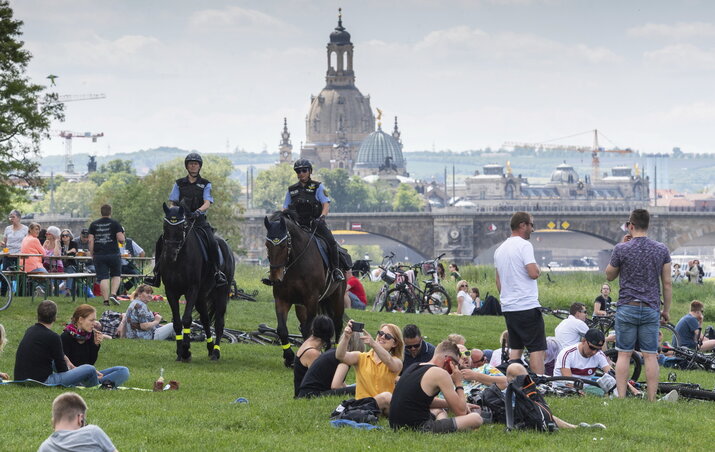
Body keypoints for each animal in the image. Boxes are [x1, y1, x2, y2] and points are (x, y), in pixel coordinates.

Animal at [160, 203, 235, 362]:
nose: (169, 255)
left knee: (219, 323)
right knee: (205, 319)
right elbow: (177, 322)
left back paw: (216, 352)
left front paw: (186, 350)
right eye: (165, 226)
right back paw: (210, 348)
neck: (179, 259)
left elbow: (186, 319)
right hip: (201, 296)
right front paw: (179, 352)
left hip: (221, 292)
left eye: (181, 227)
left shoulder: (192, 289)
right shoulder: (171, 291)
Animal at [264, 212, 346, 368]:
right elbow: (282, 329)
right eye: (267, 244)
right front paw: (289, 357)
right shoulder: (282, 299)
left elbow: (309, 329)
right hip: (301, 305)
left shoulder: (311, 300)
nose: (275, 278)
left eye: (283, 245)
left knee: (337, 324)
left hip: (337, 297)